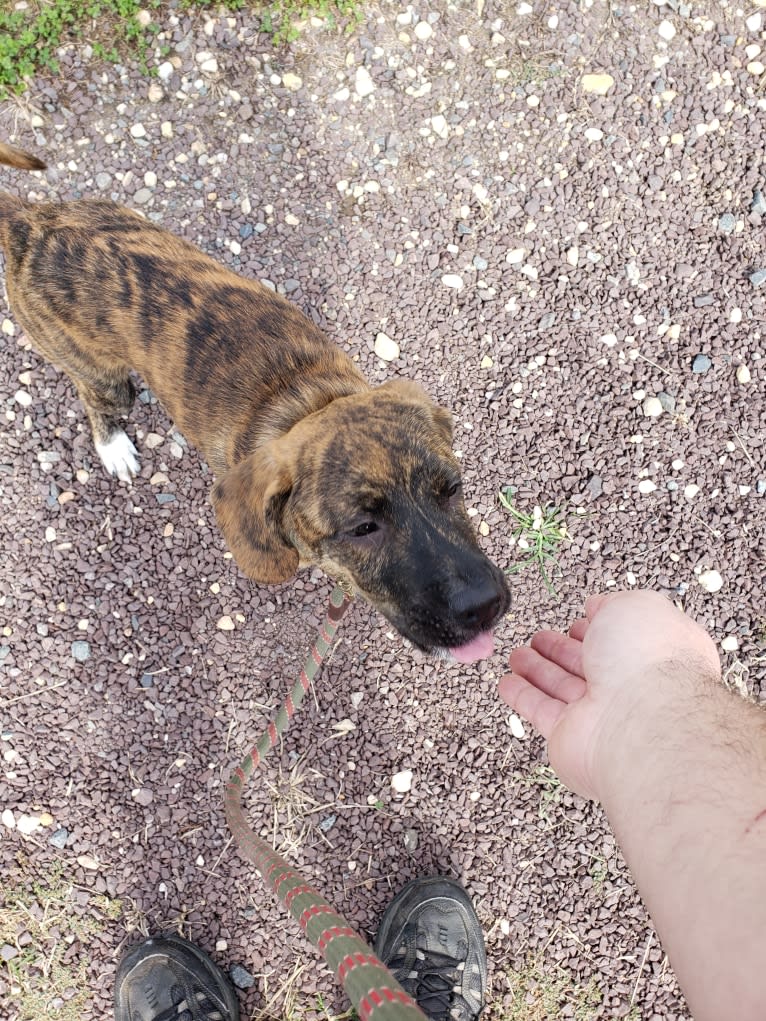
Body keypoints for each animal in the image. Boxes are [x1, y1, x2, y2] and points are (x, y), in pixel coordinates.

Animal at [3, 143, 512, 661]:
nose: (483, 606)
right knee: (93, 399)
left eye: (452, 489)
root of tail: (30, 219)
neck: (312, 400)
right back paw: (114, 449)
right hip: (104, 378)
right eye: (362, 529)